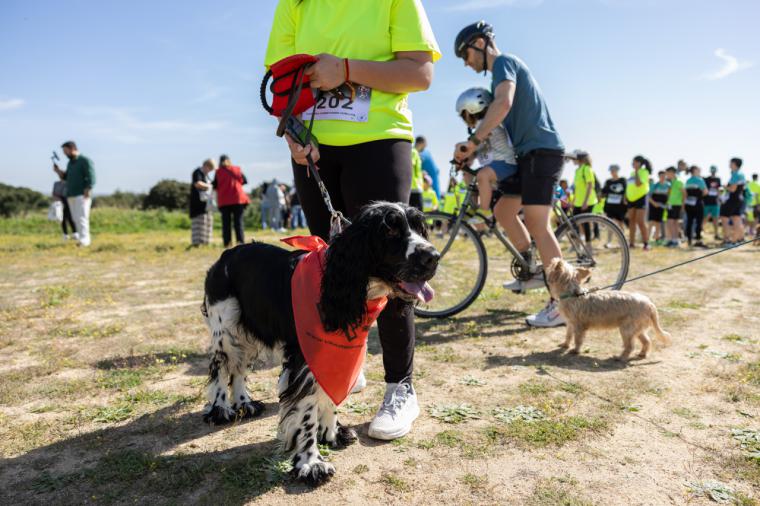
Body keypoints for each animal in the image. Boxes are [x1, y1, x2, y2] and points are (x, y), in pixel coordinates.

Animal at [202, 201, 440, 482]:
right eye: (389, 230)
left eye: (419, 228)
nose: (433, 256)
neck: (337, 286)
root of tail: (226, 255)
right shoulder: (303, 360)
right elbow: (306, 415)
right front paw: (311, 463)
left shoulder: (335, 357)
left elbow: (328, 396)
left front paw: (332, 433)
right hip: (227, 331)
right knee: (220, 368)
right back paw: (220, 409)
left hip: (248, 330)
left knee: (238, 369)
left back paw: (244, 403)